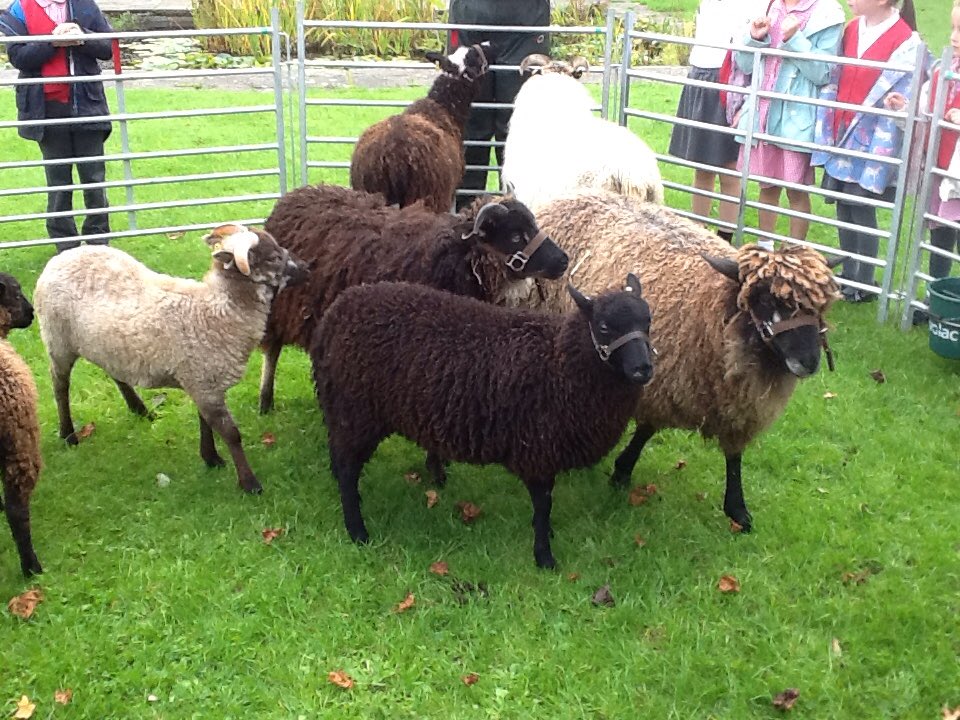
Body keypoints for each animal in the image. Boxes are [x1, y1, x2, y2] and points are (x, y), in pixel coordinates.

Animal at [33, 225, 307, 495]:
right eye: (272, 258)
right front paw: (249, 483)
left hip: (106, 345)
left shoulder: (202, 382)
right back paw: (69, 435)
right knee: (60, 386)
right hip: (58, 341)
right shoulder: (204, 383)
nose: (306, 267)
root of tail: (62, 257)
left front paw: (211, 458)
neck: (215, 310)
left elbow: (206, 422)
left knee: (115, 373)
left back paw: (140, 409)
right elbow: (231, 434)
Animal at [258, 184, 569, 416]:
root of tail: (293, 196)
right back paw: (265, 400)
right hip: (277, 306)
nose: (564, 260)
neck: (460, 257)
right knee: (272, 350)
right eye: (516, 236)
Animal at [313, 276, 655, 569]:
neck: (559, 362)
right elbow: (543, 505)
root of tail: (335, 313)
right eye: (604, 326)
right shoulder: (538, 450)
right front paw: (544, 556)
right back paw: (358, 531)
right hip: (357, 411)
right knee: (348, 472)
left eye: (648, 321)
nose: (643, 369)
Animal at [501, 191, 840, 532]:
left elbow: (733, 456)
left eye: (818, 306)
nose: (808, 361)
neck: (715, 308)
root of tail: (574, 195)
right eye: (766, 300)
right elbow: (646, 430)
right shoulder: (657, 381)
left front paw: (737, 510)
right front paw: (622, 471)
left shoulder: (733, 402)